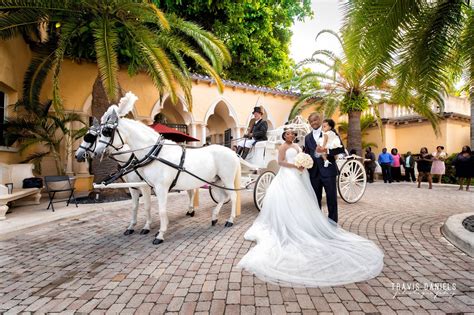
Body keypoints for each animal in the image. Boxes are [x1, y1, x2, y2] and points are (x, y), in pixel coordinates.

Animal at [92, 92, 241, 246]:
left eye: (107, 131)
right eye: (98, 133)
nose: (96, 153)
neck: (156, 153)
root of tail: (231, 152)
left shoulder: (160, 187)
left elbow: (161, 210)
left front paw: (160, 234)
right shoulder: (144, 187)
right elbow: (146, 207)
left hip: (227, 179)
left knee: (233, 196)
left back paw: (230, 220)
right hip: (216, 180)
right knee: (223, 197)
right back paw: (214, 217)